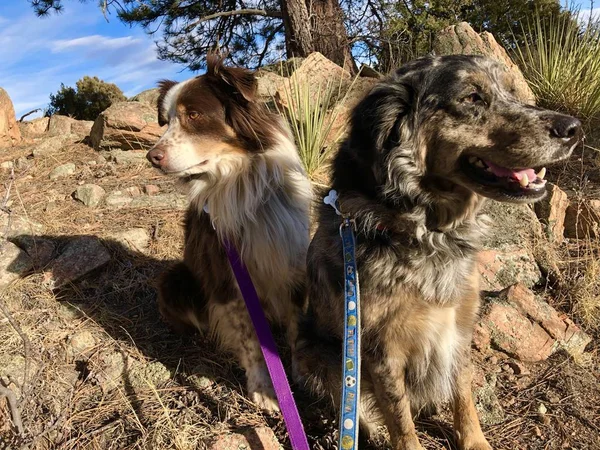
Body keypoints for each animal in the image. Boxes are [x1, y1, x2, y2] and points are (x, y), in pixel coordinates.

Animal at [148, 55, 312, 412]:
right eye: (165, 121)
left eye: (193, 115)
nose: (151, 157)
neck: (238, 180)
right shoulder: (227, 276)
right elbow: (251, 340)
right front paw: (266, 389)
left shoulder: (292, 260)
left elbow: (296, 323)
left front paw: (302, 372)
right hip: (173, 279)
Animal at [296, 56, 580, 450]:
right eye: (472, 97)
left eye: (509, 91)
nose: (573, 128)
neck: (428, 232)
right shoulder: (380, 348)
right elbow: (400, 416)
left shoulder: (459, 324)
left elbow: (463, 394)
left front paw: (475, 441)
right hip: (314, 353)